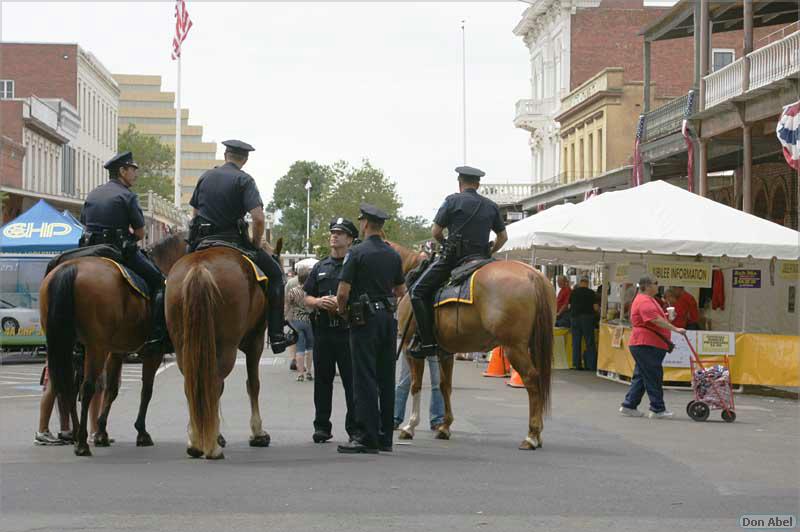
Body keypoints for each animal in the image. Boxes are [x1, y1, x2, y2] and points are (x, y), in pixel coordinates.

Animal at [41, 233, 189, 458]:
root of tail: (72, 268)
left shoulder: (116, 352)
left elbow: (112, 390)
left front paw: (102, 432)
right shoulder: (151, 354)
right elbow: (146, 391)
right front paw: (141, 432)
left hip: (64, 345)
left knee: (66, 386)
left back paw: (76, 435)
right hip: (95, 348)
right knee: (86, 387)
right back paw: (82, 443)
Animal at [164, 243, 280, 460]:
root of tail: (199, 267)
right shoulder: (256, 341)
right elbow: (253, 384)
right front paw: (258, 433)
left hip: (184, 347)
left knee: (193, 386)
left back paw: (195, 442)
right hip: (227, 346)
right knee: (214, 383)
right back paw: (212, 448)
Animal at [390, 243, 552, 450]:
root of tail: (533, 275)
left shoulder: (411, 351)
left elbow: (415, 385)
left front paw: (410, 426)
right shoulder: (445, 352)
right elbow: (444, 386)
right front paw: (444, 427)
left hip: (514, 347)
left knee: (531, 380)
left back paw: (531, 436)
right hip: (532, 346)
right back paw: (537, 435)